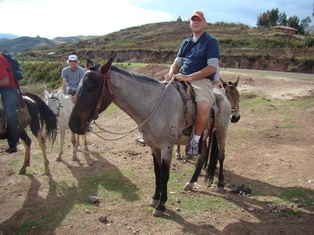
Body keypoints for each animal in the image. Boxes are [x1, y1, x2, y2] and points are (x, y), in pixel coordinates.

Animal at [69, 57, 238, 217]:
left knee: (221, 155)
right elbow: (157, 172)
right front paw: (155, 198)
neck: (155, 107)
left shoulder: (167, 147)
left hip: (221, 131)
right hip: (203, 137)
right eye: (79, 87)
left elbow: (165, 174)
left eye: (93, 88)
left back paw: (220, 184)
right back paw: (191, 183)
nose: (73, 125)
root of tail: (221, 93)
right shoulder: (154, 146)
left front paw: (161, 205)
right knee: (202, 156)